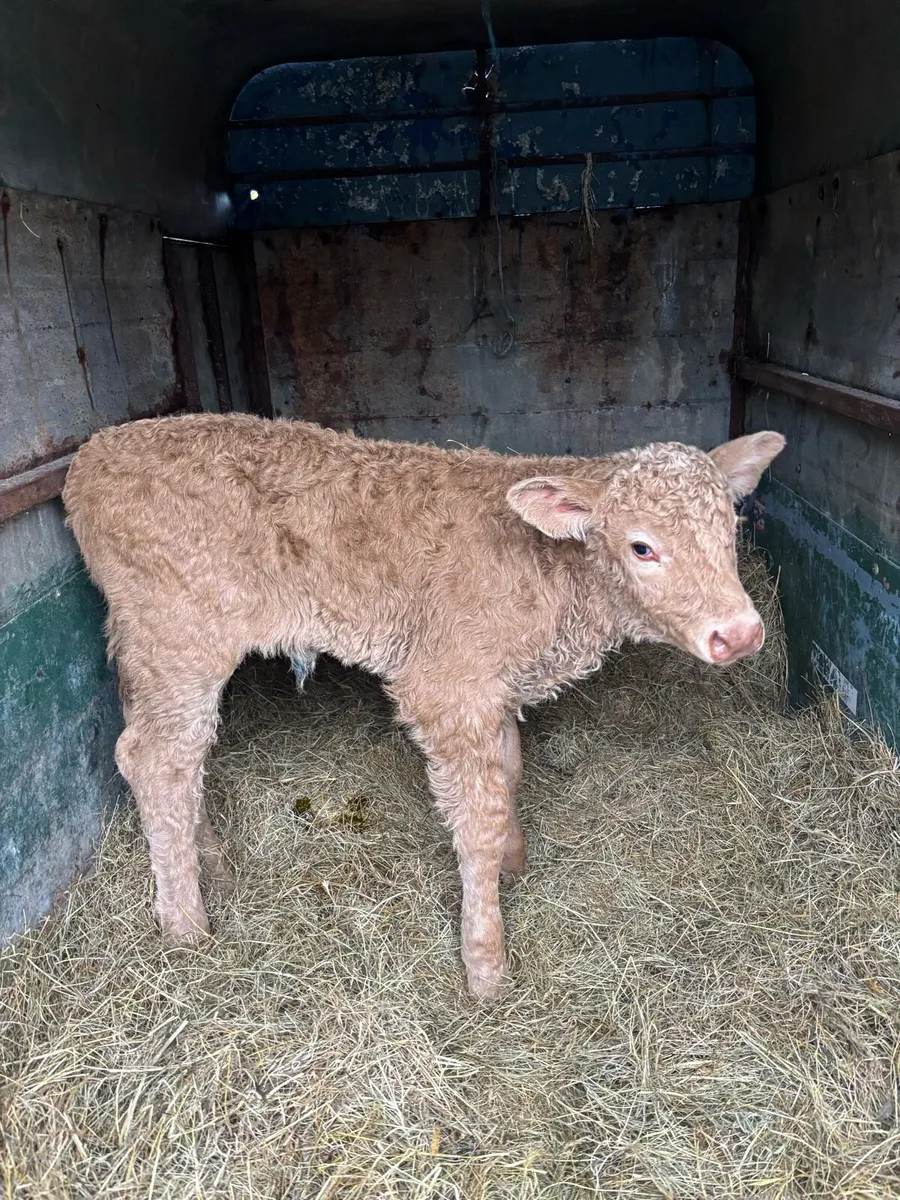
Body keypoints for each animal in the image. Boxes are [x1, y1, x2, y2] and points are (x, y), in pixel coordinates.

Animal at [63, 415, 785, 1000]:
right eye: (642, 547)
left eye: (730, 529)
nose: (741, 632)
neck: (553, 579)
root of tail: (92, 456)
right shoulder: (447, 687)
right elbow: (478, 818)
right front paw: (486, 964)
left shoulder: (493, 689)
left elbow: (508, 772)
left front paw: (512, 863)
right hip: (180, 636)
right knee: (157, 759)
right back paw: (186, 926)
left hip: (148, 647)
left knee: (175, 756)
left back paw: (208, 860)